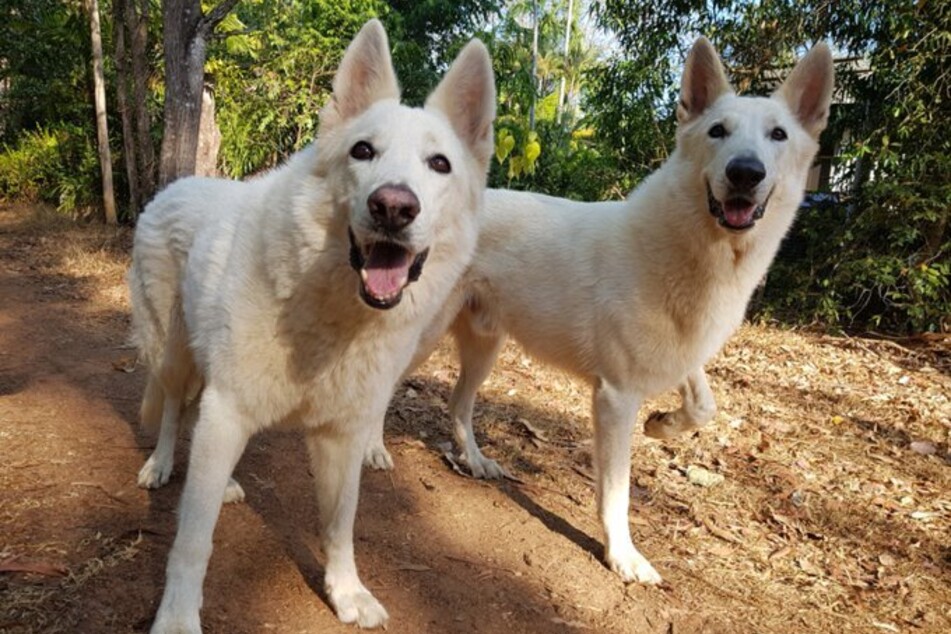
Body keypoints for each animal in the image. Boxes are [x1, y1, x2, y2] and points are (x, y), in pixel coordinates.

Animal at [130, 18, 498, 628]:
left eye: (439, 164)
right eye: (363, 151)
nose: (393, 207)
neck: (335, 315)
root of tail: (173, 186)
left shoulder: (341, 436)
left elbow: (339, 525)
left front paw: (346, 593)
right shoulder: (230, 411)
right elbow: (193, 540)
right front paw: (178, 618)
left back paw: (226, 482)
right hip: (172, 356)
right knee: (173, 415)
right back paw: (160, 465)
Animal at [370, 38, 832, 584]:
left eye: (778, 135)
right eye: (717, 131)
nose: (745, 172)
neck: (697, 255)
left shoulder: (681, 356)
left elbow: (704, 406)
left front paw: (663, 425)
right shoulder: (615, 398)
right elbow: (616, 491)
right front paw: (623, 555)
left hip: (485, 346)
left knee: (459, 404)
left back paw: (475, 461)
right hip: (424, 336)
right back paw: (372, 448)